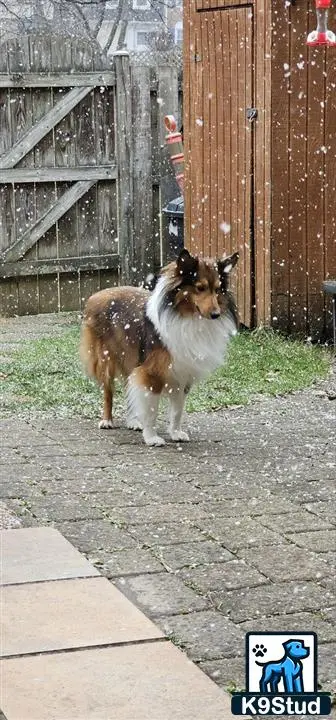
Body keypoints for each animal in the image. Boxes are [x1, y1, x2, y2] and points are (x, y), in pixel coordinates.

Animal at [80, 250, 239, 448]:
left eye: (218, 289)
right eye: (200, 288)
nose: (216, 314)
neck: (186, 317)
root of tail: (97, 295)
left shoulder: (182, 373)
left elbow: (177, 410)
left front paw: (175, 433)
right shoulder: (151, 373)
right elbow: (152, 410)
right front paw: (151, 438)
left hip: (131, 358)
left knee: (128, 386)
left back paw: (133, 421)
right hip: (106, 359)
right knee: (108, 391)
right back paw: (107, 420)